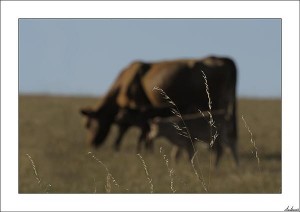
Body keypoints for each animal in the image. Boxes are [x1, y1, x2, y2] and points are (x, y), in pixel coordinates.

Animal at [80, 56, 239, 164]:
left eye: (88, 125)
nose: (90, 144)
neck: (124, 84)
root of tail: (222, 59)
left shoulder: (140, 113)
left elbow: (130, 134)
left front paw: (133, 151)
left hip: (216, 106)